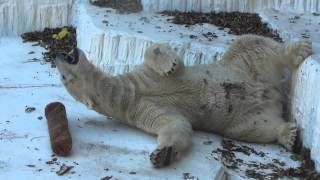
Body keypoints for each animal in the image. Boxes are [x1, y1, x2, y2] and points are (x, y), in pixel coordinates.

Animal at [53, 34, 312, 167]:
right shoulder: (141, 109)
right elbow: (176, 125)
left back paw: (299, 48)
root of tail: (274, 93)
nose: (58, 54)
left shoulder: (144, 79)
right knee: (255, 127)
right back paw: (288, 135)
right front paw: (162, 154)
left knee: (252, 45)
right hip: (245, 117)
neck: (129, 94)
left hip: (242, 66)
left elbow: (156, 53)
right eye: (63, 77)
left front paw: (168, 64)